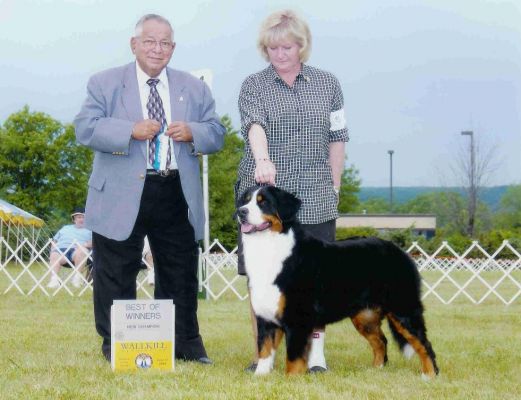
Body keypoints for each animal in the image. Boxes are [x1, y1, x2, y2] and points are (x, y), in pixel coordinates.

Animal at [238, 186, 436, 380]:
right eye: (245, 200)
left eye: (263, 202)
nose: (241, 212)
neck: (270, 247)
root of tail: (400, 251)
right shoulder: (266, 316)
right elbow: (264, 350)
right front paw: (260, 377)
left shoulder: (297, 317)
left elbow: (293, 357)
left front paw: (291, 380)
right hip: (365, 316)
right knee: (381, 341)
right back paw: (376, 370)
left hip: (403, 309)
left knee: (424, 343)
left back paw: (430, 375)